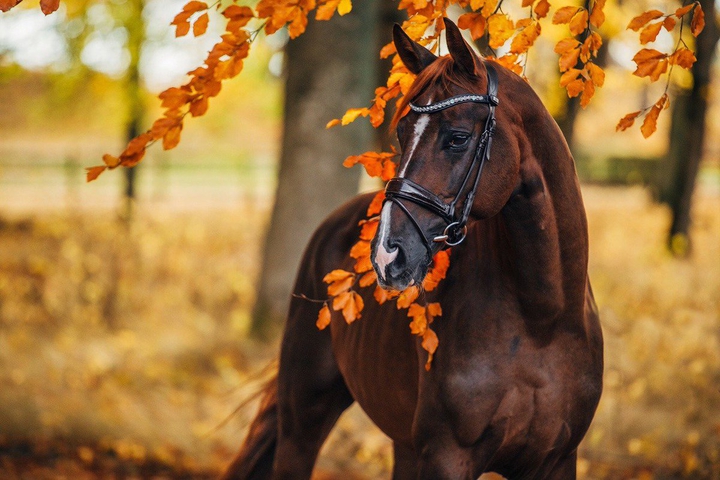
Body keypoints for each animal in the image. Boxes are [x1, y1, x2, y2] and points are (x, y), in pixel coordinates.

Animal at [222, 18, 603, 480]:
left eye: (457, 138)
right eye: (402, 134)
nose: (386, 255)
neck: (542, 322)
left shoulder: (556, 460)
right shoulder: (446, 456)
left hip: (402, 444)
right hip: (303, 421)